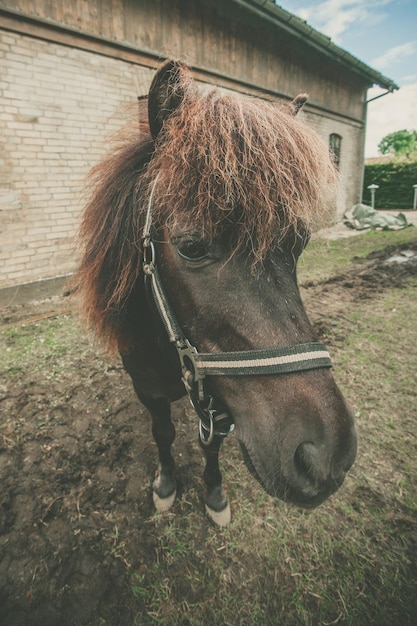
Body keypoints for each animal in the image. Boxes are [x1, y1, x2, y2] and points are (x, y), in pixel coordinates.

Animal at [73, 59, 356, 528]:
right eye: (191, 246)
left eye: (299, 243)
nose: (324, 458)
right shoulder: (149, 390)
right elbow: (163, 433)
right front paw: (166, 484)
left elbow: (210, 446)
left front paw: (215, 493)